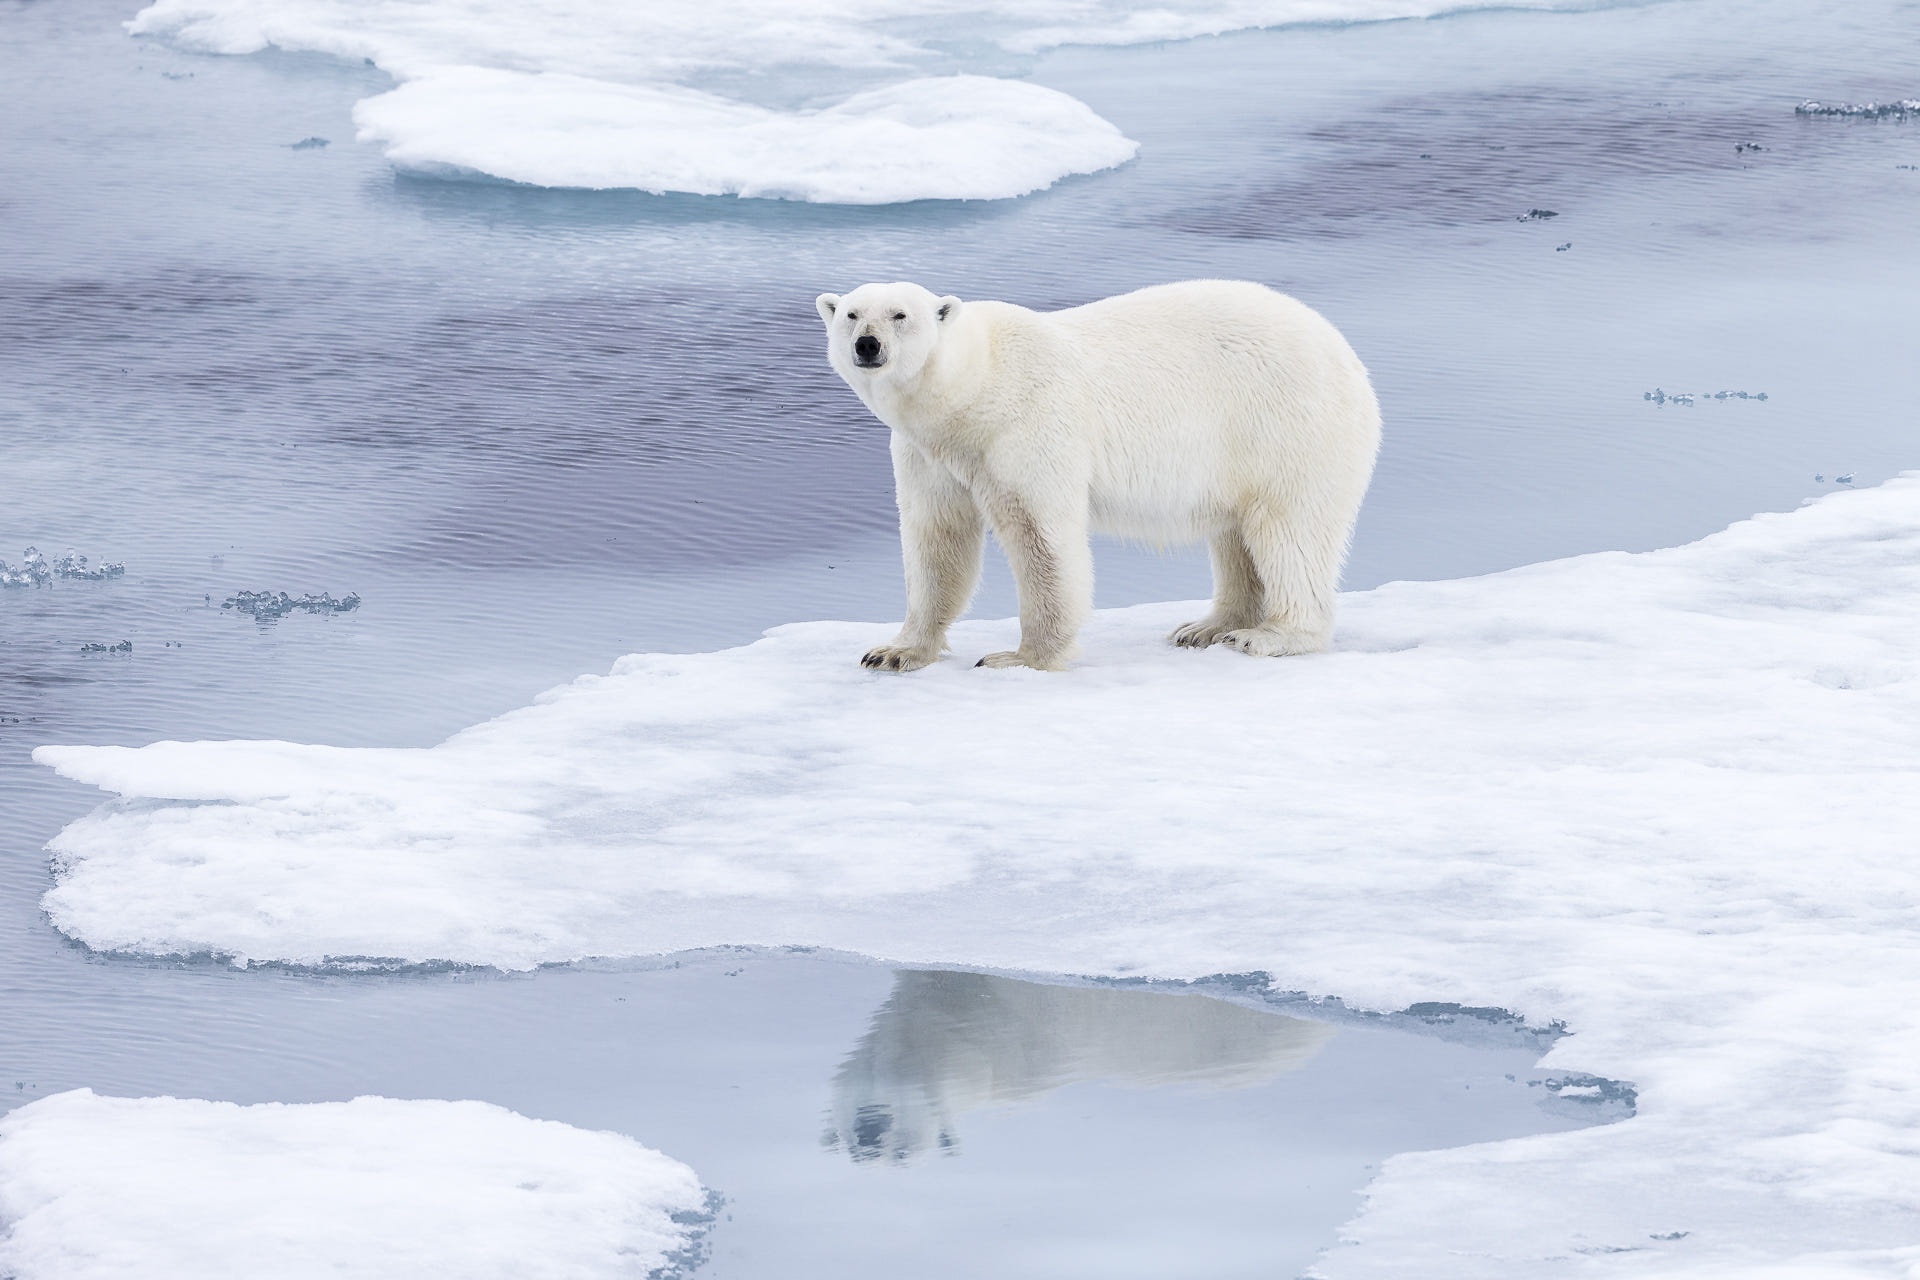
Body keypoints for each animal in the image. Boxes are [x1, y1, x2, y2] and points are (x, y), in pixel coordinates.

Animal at [814, 278, 1382, 671]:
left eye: (900, 314)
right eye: (851, 314)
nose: (868, 345)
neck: (974, 388)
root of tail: (1349, 358)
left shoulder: (1027, 426)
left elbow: (1042, 539)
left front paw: (1020, 657)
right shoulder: (930, 453)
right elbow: (937, 539)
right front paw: (893, 652)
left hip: (1285, 429)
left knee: (1289, 531)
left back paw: (1268, 636)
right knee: (1235, 534)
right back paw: (1205, 626)